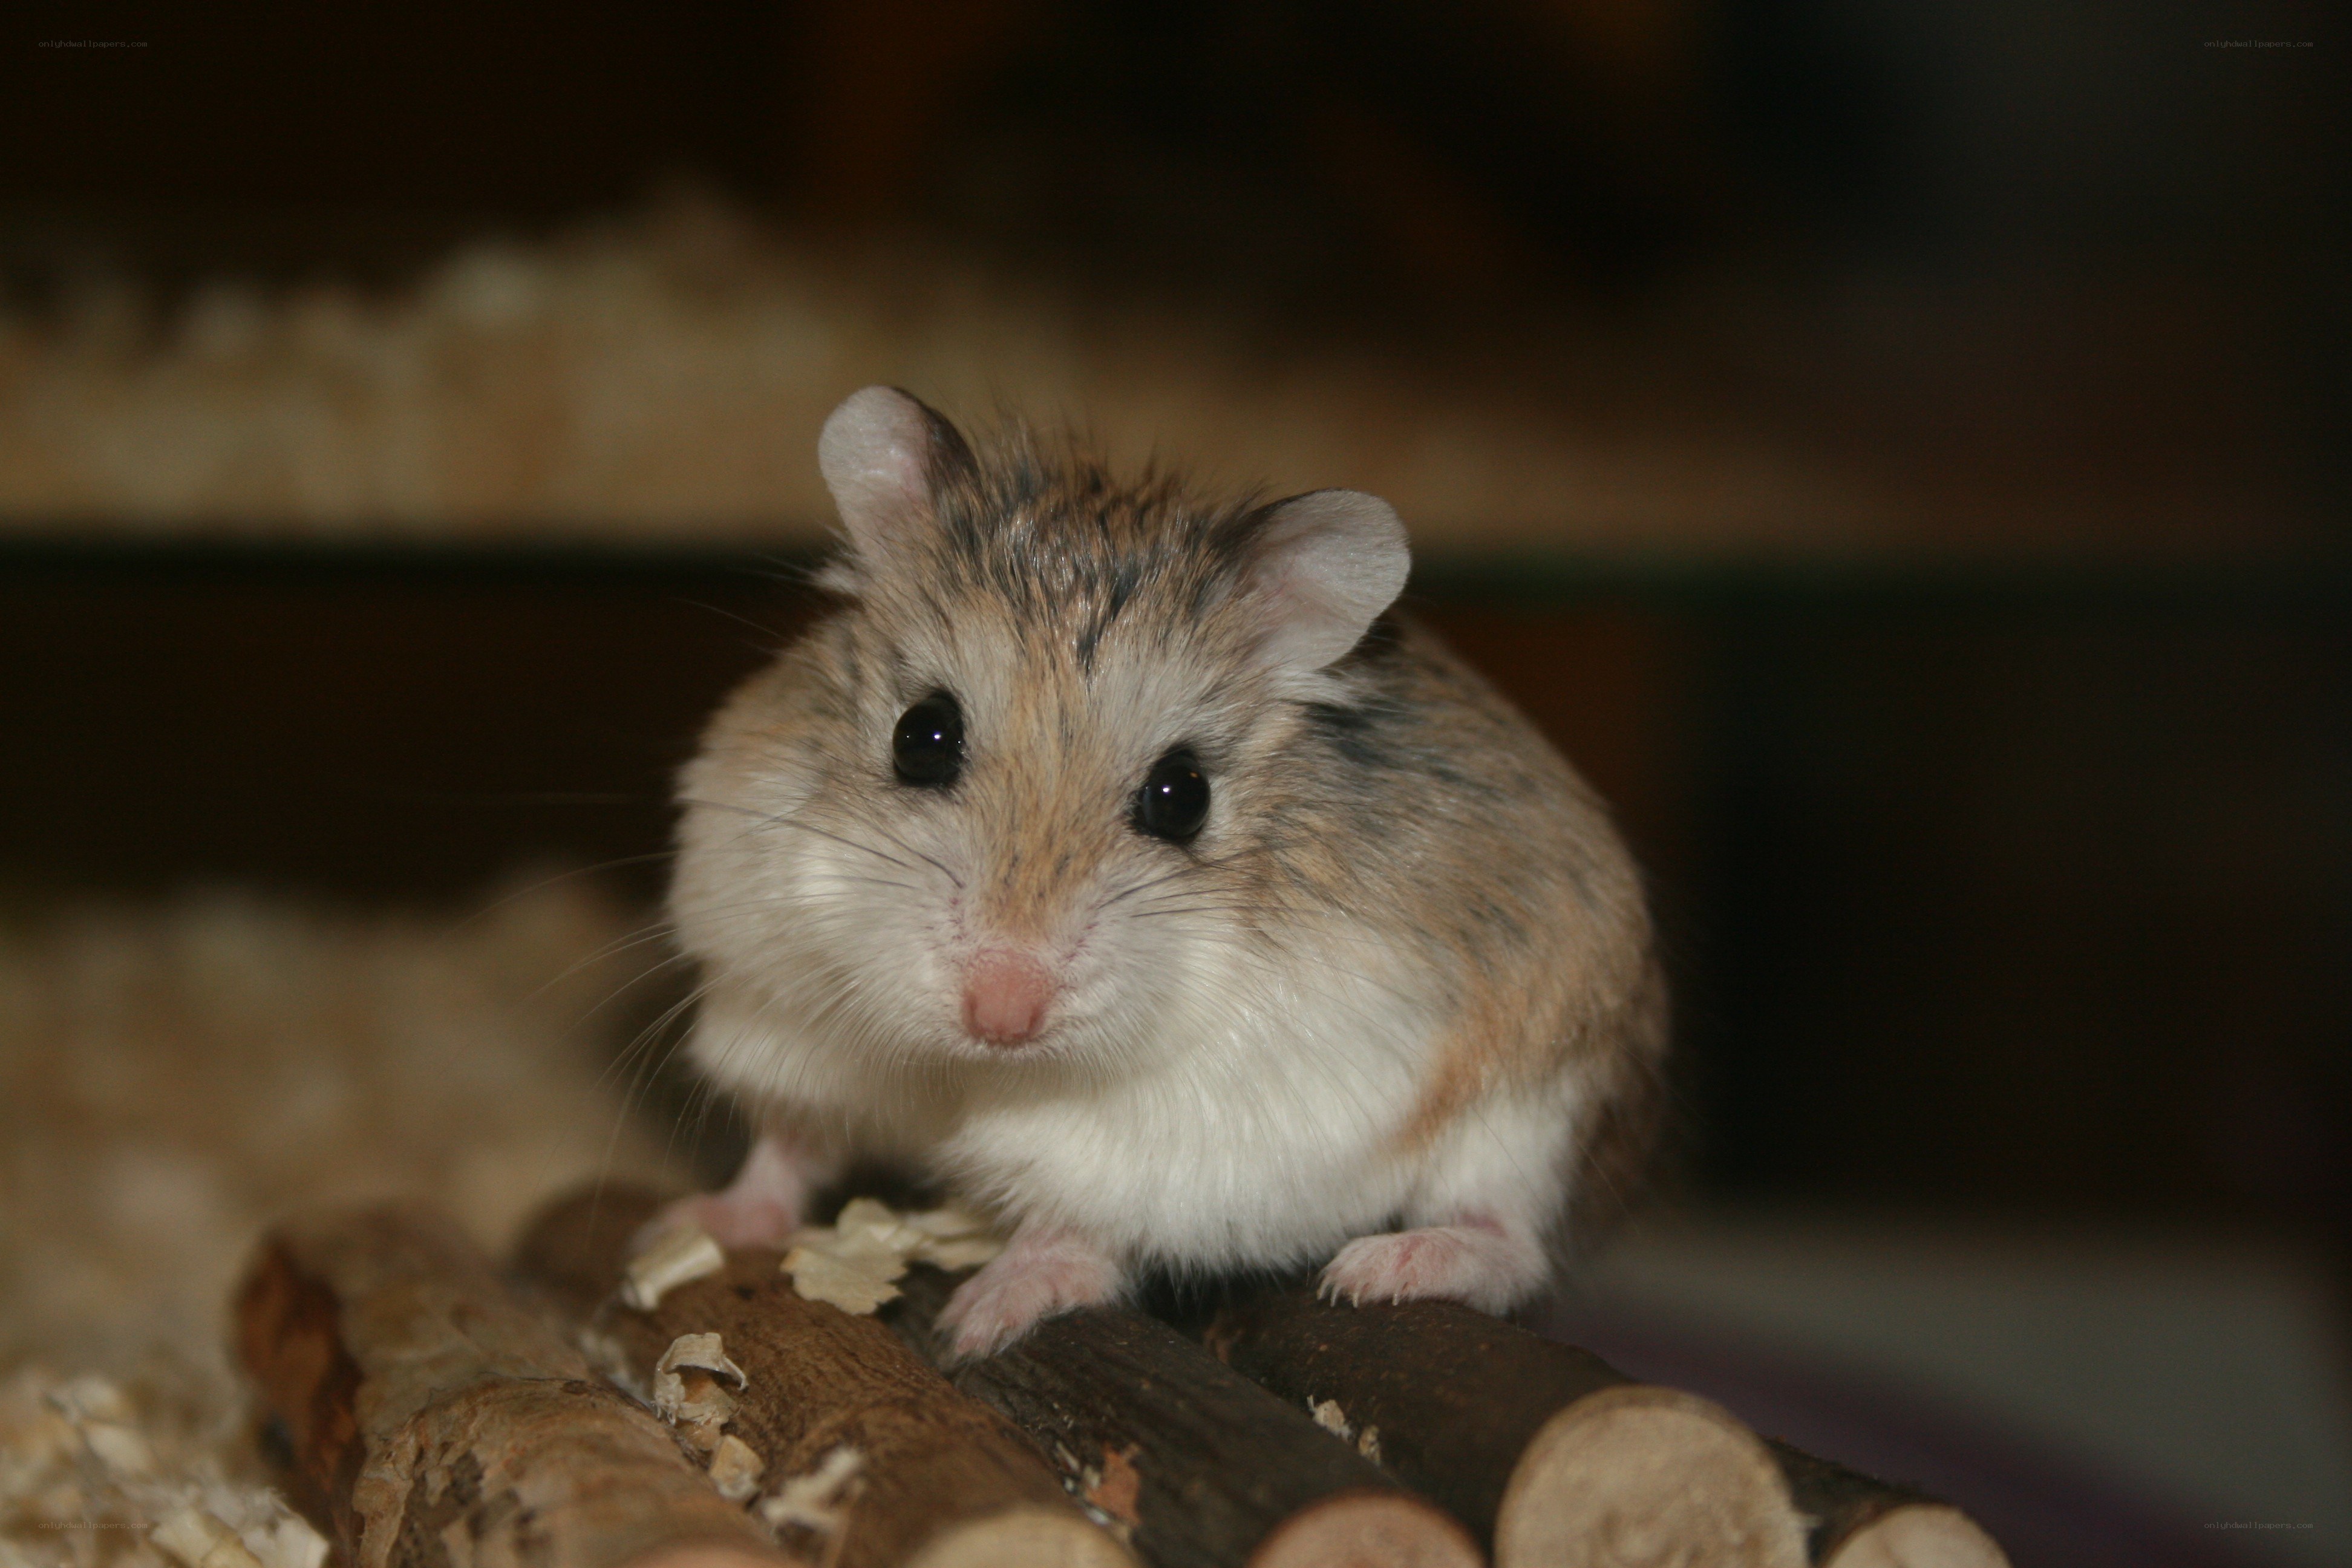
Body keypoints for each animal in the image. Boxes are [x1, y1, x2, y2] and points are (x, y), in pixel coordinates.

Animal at [661, 386, 1665, 1358]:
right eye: (921, 736)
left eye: (1184, 796)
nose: (1001, 1014)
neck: (970, 1069)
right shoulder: (782, 1014)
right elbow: (785, 1148)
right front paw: (688, 1225)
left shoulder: (1176, 1139)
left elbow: (1082, 1220)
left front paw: (979, 1319)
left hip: (1538, 1112)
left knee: (1512, 1240)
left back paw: (1385, 1268)